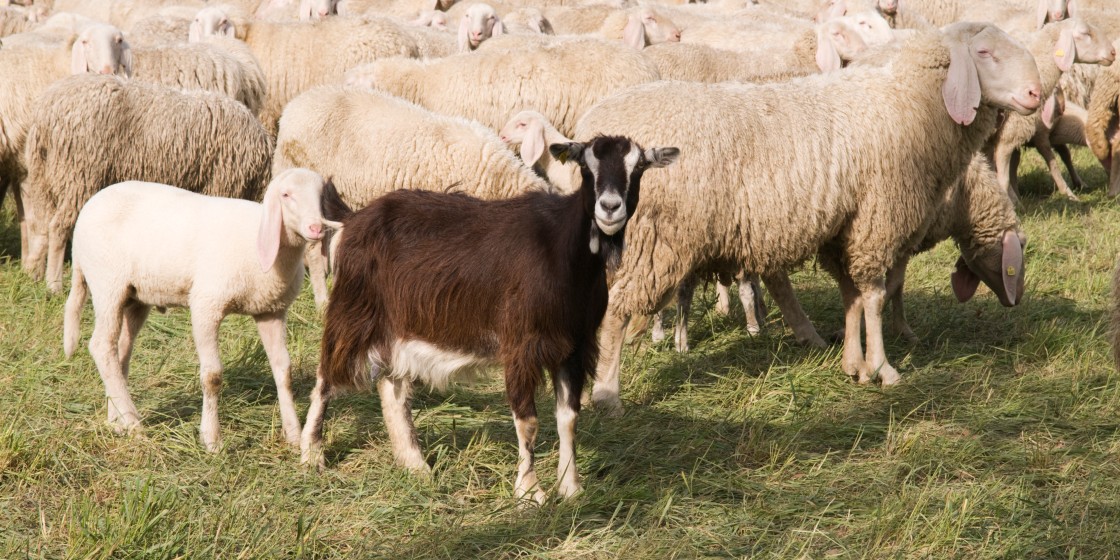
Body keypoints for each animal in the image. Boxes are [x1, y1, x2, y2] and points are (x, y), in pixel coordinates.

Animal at [300, 135, 679, 503]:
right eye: (586, 166)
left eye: (638, 167)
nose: (610, 207)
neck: (563, 252)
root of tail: (355, 218)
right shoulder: (521, 345)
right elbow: (527, 420)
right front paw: (529, 493)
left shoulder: (575, 346)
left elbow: (568, 418)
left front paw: (571, 489)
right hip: (353, 309)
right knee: (325, 376)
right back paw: (311, 453)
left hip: (399, 323)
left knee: (393, 388)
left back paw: (415, 464)